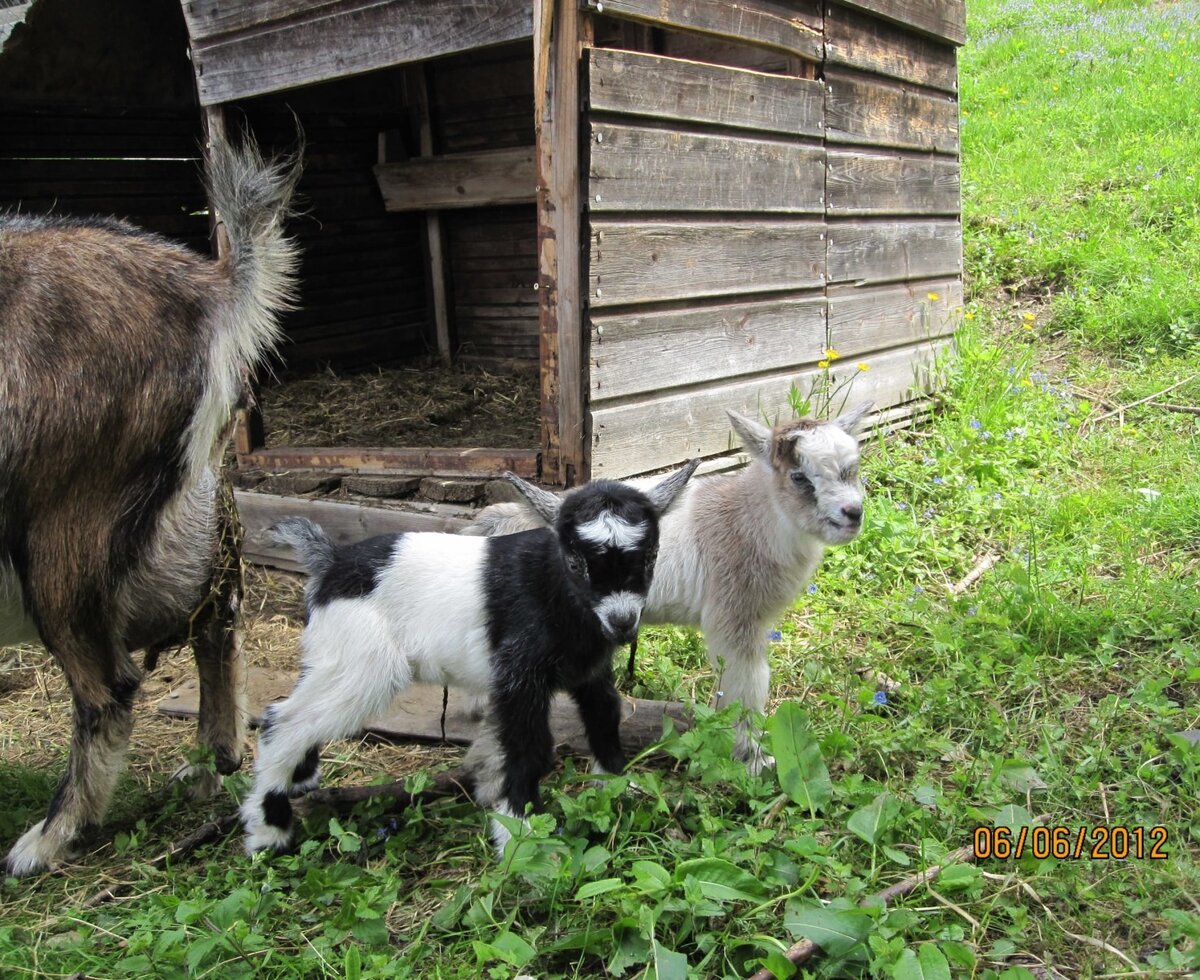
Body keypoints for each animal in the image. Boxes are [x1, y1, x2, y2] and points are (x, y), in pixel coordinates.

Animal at [0, 135, 300, 874]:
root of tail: (215, 288)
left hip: (62, 526)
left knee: (110, 686)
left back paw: (46, 839)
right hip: (193, 510)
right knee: (215, 614)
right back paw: (205, 767)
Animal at [240, 462, 698, 856]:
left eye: (651, 556)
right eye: (575, 562)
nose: (623, 623)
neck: (555, 591)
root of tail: (331, 562)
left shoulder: (589, 671)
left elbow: (605, 715)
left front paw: (619, 786)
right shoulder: (519, 678)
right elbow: (528, 744)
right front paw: (520, 832)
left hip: (333, 654)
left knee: (286, 708)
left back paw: (300, 779)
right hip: (363, 665)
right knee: (287, 723)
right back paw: (269, 832)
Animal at [464, 405, 872, 772]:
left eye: (851, 469)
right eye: (799, 477)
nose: (853, 514)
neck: (746, 520)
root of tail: (494, 525)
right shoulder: (734, 617)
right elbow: (746, 687)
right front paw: (754, 759)